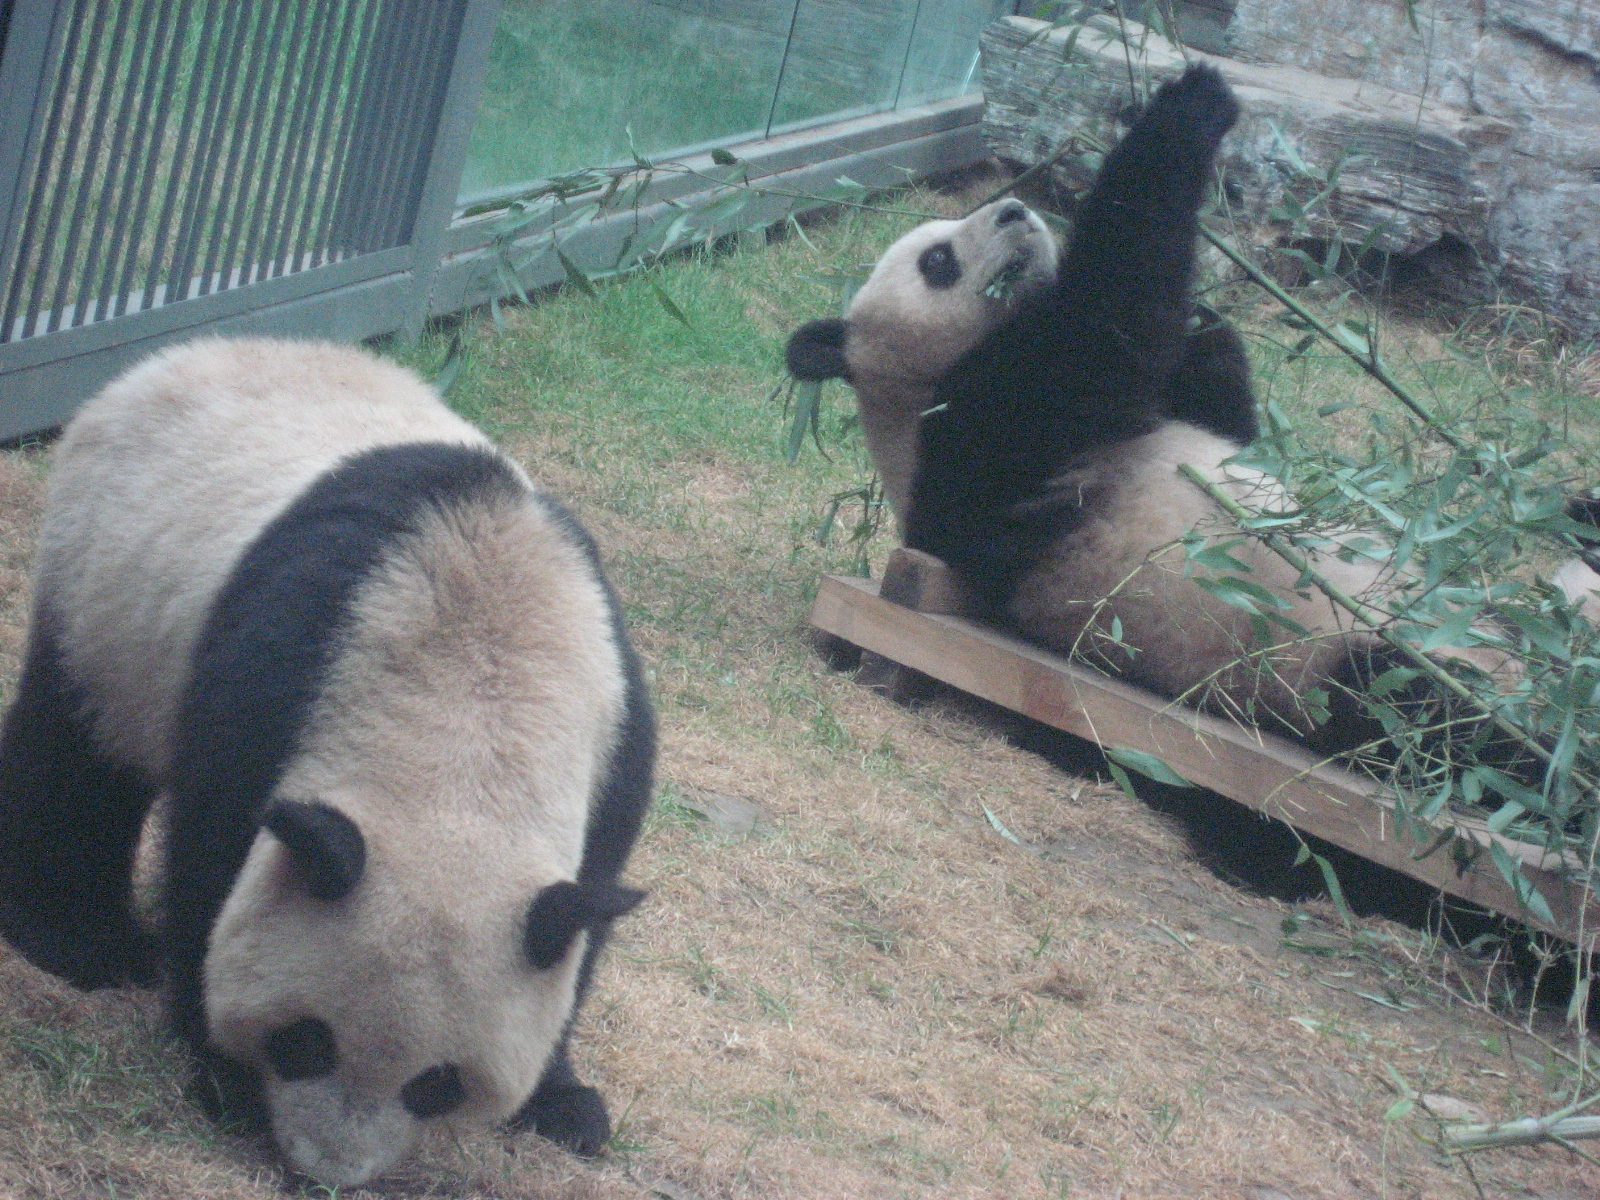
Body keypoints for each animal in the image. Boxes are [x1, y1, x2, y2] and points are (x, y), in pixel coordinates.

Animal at [0, 338, 655, 1187]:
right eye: (307, 1040)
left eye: (436, 1084)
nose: (327, 1171)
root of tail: (188, 352)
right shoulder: (271, 684)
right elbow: (214, 868)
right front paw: (223, 1069)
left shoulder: (616, 749)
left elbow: (579, 928)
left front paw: (564, 1105)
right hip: (103, 581)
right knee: (76, 761)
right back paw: (85, 942)